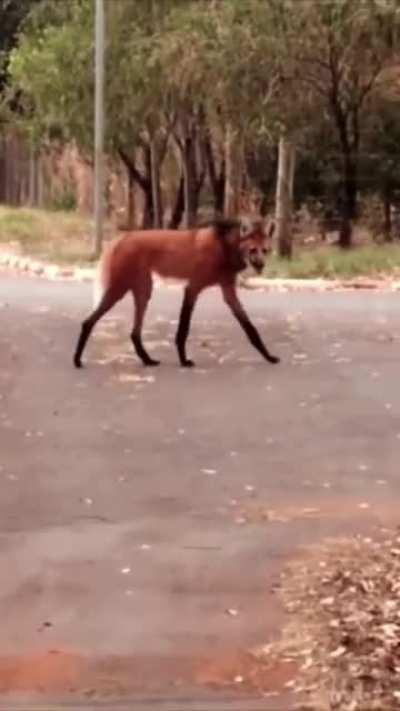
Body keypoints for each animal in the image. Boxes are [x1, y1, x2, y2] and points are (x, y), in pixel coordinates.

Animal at [73, 215, 280, 368]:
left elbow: (249, 327)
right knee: (88, 321)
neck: (224, 249)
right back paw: (77, 360)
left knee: (134, 332)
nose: (261, 265)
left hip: (143, 289)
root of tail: (122, 237)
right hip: (120, 289)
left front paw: (268, 356)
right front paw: (184, 360)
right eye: (252, 250)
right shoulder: (193, 287)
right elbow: (184, 327)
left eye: (265, 250)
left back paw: (147, 360)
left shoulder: (228, 290)